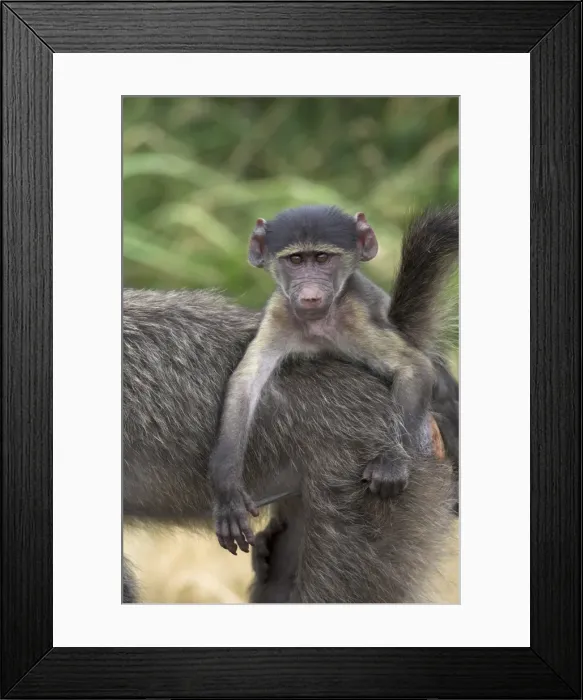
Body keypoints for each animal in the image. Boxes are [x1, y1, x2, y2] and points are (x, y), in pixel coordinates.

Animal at [208, 205, 458, 555]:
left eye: (323, 258)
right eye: (296, 260)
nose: (310, 293)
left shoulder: (354, 316)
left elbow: (414, 367)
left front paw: (393, 460)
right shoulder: (279, 313)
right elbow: (245, 382)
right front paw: (228, 491)